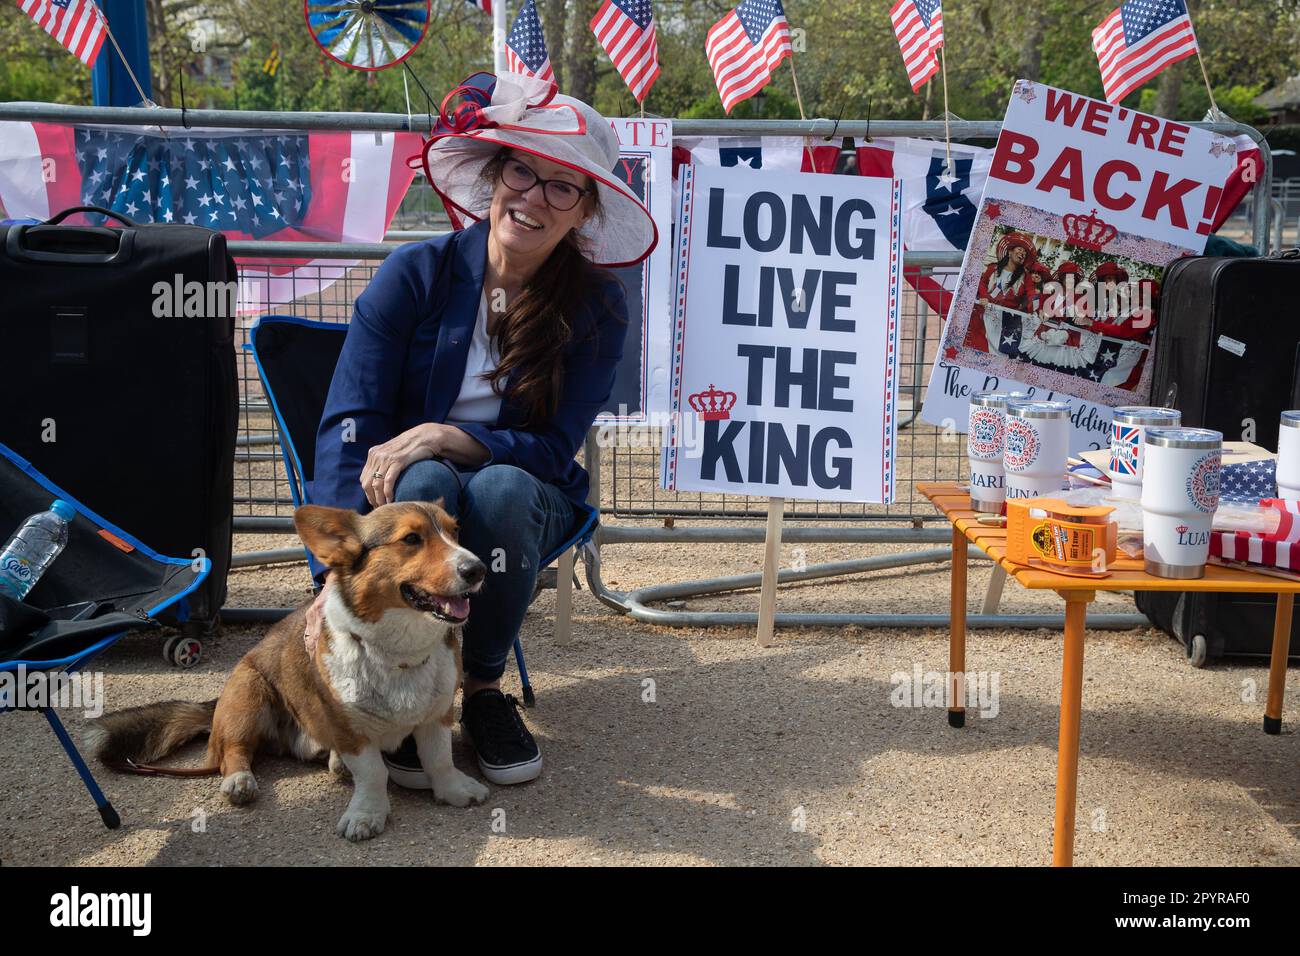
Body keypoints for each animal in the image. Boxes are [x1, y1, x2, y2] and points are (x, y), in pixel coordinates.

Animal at [86, 504, 491, 842]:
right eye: (411, 539)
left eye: (455, 532)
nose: (478, 569)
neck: (400, 652)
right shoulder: (349, 730)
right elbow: (374, 773)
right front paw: (367, 814)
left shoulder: (437, 716)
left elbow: (439, 759)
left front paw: (455, 791)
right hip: (247, 694)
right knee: (232, 752)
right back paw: (240, 781)